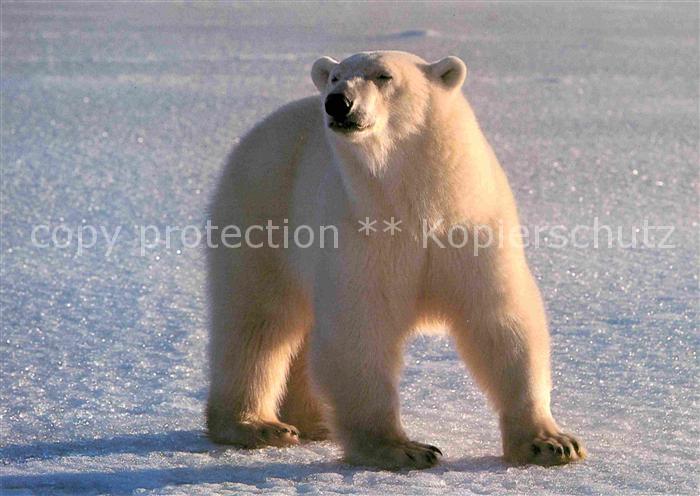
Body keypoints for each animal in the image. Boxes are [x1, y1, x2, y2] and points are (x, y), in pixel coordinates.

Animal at [205, 50, 586, 470]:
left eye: (383, 76)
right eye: (335, 76)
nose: (337, 102)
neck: (416, 198)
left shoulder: (472, 227)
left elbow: (500, 320)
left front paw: (551, 443)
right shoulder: (363, 233)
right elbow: (360, 330)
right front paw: (403, 449)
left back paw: (314, 421)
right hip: (262, 210)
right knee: (257, 322)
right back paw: (256, 425)